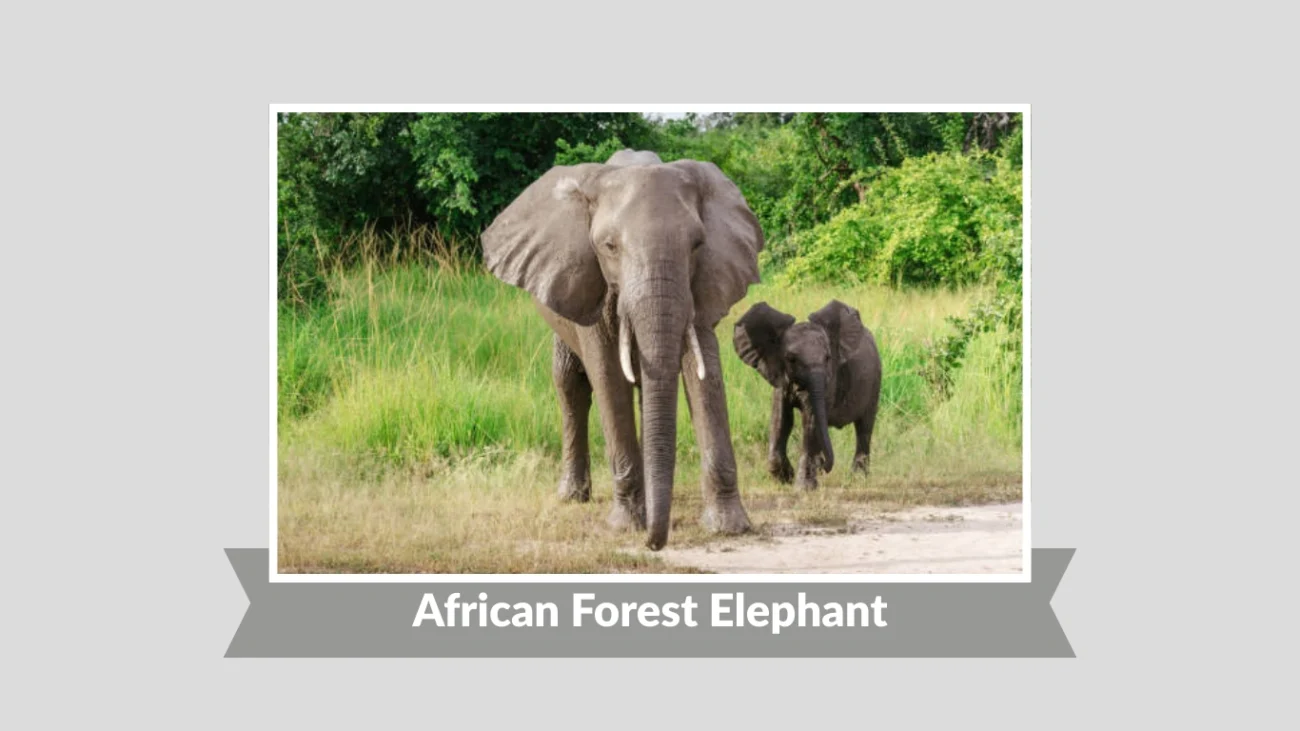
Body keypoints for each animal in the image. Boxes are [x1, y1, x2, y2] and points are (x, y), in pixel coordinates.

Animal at [480, 149, 764, 550]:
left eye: (697, 245)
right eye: (609, 247)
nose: (654, 544)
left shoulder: (702, 282)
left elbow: (703, 372)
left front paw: (729, 527)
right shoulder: (591, 283)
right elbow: (607, 376)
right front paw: (626, 527)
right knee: (569, 384)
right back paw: (573, 496)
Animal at [732, 300, 882, 490]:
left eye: (828, 358)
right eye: (791, 359)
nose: (824, 467)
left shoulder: (828, 381)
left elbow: (810, 422)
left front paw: (803, 487)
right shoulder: (781, 378)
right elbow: (780, 420)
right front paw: (785, 478)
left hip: (875, 380)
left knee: (864, 427)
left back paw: (858, 479)